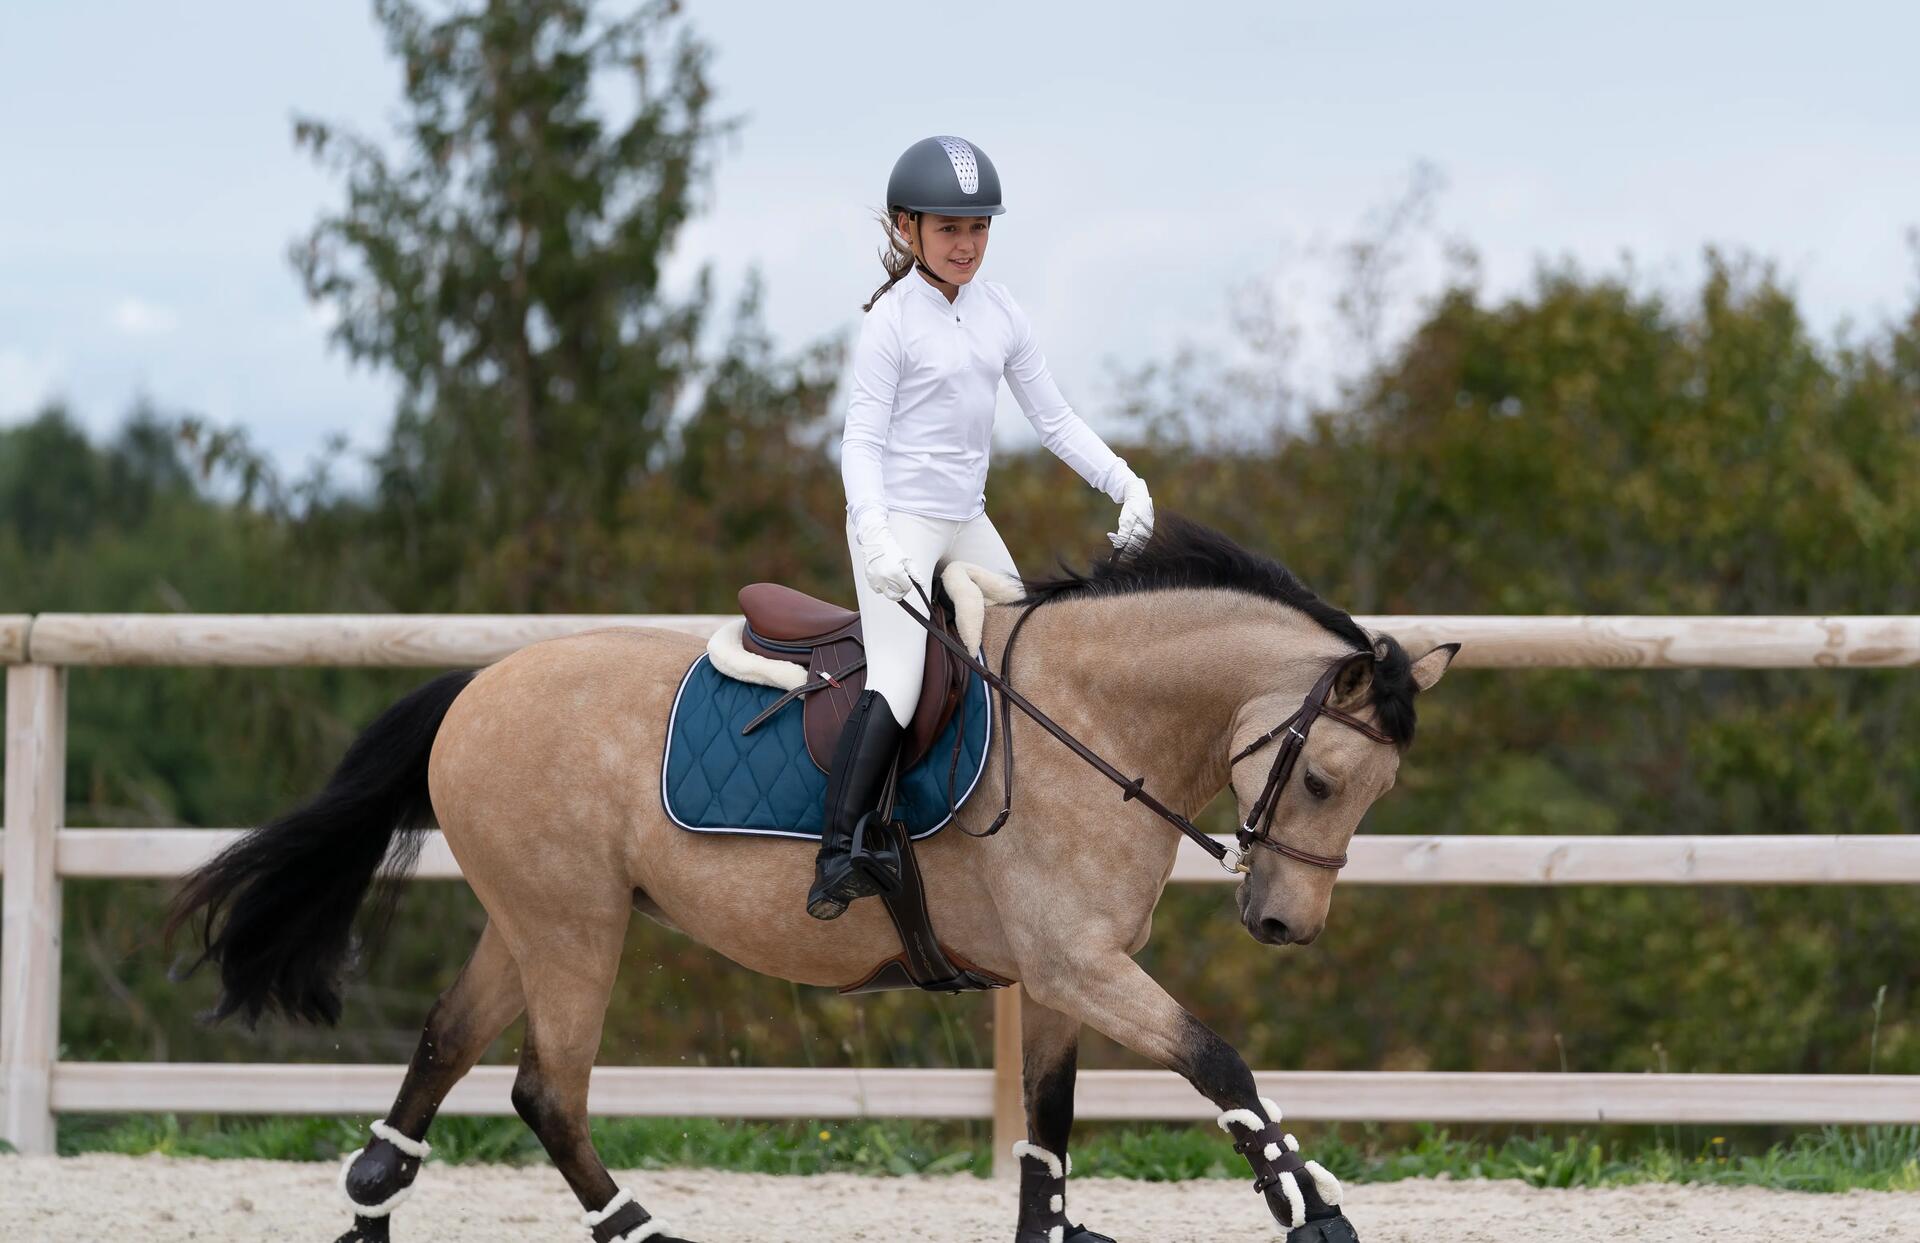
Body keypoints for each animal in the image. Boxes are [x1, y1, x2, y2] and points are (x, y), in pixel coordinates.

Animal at [168, 514, 1451, 1243]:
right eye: (1324, 777)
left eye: (1378, 791)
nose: (1283, 921)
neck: (1091, 717)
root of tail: (479, 685)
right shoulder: (1081, 965)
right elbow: (1218, 1059)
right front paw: (1312, 1205)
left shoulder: (1060, 976)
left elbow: (1049, 1119)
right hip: (574, 927)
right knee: (547, 1089)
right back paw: (639, 1230)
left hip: (530, 920)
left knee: (445, 1046)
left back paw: (376, 1206)